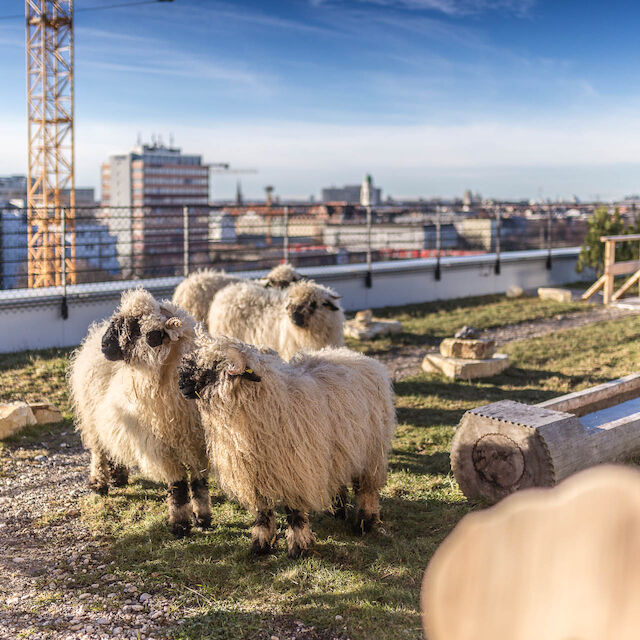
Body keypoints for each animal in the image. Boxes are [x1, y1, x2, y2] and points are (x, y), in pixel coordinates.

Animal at [69, 288, 211, 536]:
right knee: (98, 450)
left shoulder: (197, 442)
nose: (105, 345)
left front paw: (202, 518)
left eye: (135, 328)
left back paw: (119, 477)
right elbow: (178, 486)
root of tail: (94, 333)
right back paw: (99, 483)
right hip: (91, 414)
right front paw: (179, 525)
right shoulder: (162, 449)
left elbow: (199, 482)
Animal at [176, 332, 396, 556]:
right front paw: (260, 545)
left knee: (366, 490)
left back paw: (364, 522)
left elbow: (295, 512)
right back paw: (337, 511)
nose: (180, 384)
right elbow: (263, 513)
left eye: (212, 366)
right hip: (340, 450)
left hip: (371, 452)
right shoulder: (254, 475)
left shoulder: (295, 470)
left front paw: (298, 547)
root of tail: (356, 355)